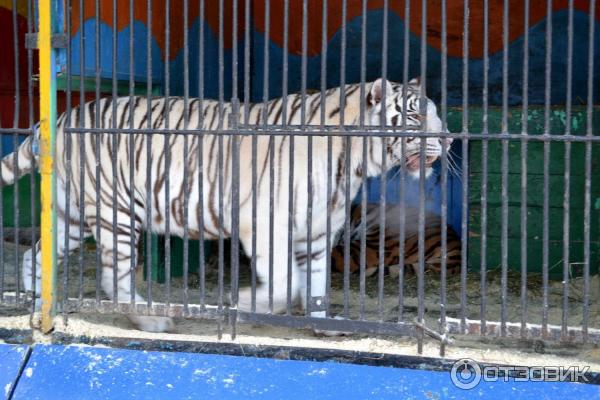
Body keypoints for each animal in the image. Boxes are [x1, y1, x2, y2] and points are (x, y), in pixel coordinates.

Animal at [0, 77, 450, 332]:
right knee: (115, 278)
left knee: (34, 255)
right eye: (414, 118)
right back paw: (153, 318)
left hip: (71, 216)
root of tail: (60, 120)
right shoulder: (265, 222)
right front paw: (244, 304)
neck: (352, 161)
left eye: (435, 112)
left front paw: (324, 327)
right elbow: (286, 284)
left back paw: (37, 307)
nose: (447, 139)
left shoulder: (319, 229)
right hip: (117, 212)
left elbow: (317, 282)